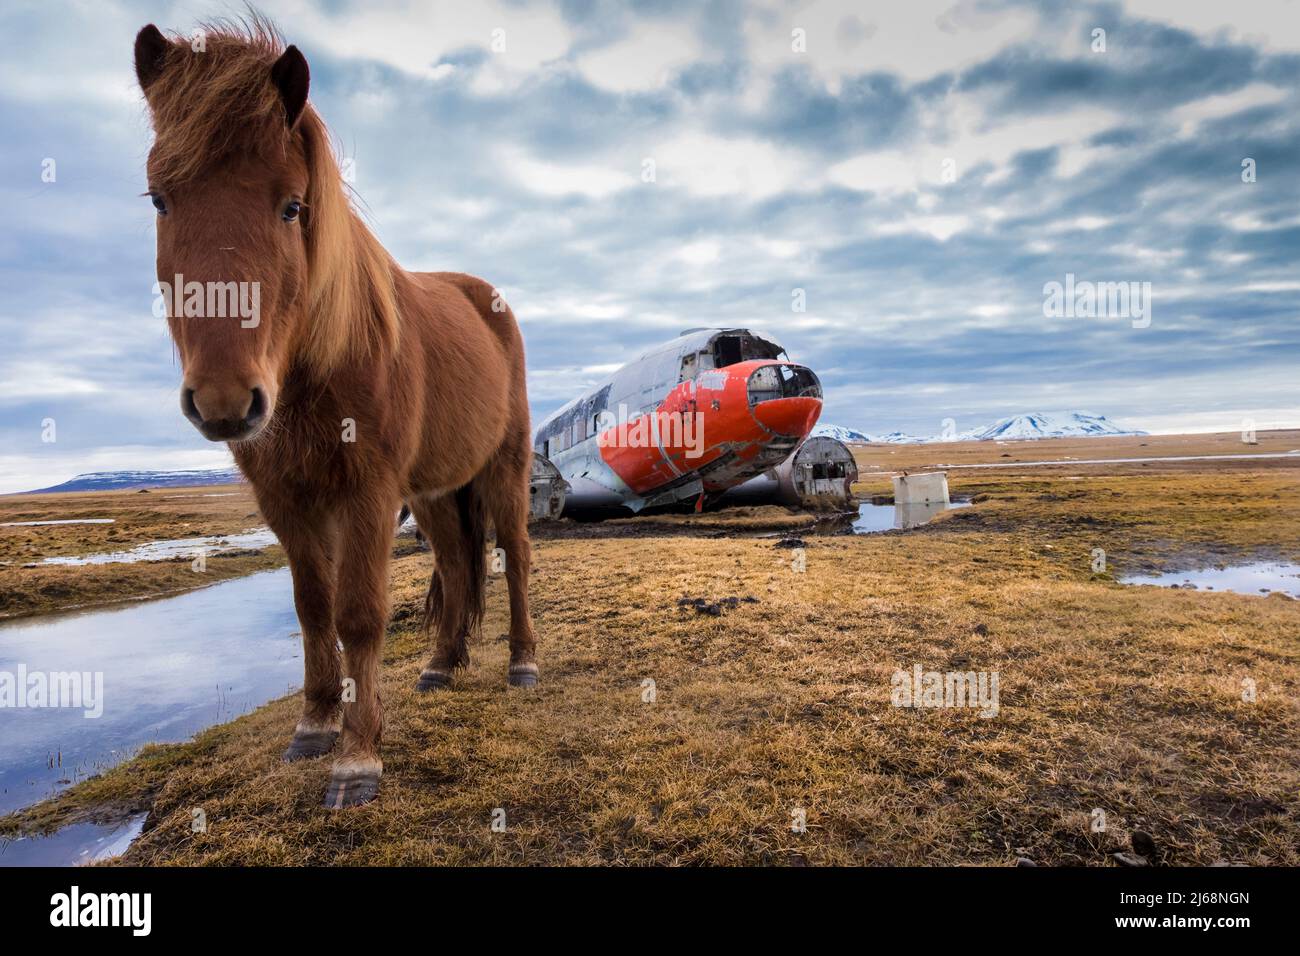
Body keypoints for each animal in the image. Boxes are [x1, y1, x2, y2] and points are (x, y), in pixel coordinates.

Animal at [133, 16, 538, 806]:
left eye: (292, 205)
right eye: (160, 200)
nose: (225, 400)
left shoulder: (367, 493)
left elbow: (359, 614)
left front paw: (358, 759)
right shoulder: (285, 498)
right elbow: (311, 606)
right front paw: (315, 726)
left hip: (502, 471)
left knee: (515, 558)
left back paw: (523, 663)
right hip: (436, 492)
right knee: (455, 561)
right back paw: (440, 665)